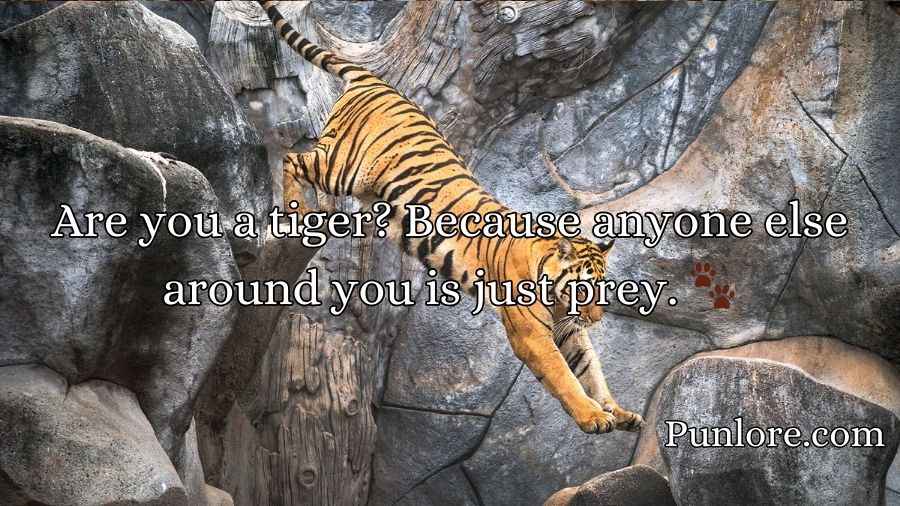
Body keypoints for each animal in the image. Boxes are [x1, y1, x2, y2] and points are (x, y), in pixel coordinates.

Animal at [258, 0, 643, 435]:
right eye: (583, 289)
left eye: (602, 290)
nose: (596, 319)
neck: (556, 295)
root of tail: (375, 81)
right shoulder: (532, 333)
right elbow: (565, 376)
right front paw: (592, 417)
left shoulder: (568, 331)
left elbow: (591, 370)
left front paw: (618, 412)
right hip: (344, 166)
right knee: (293, 159)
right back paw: (298, 208)